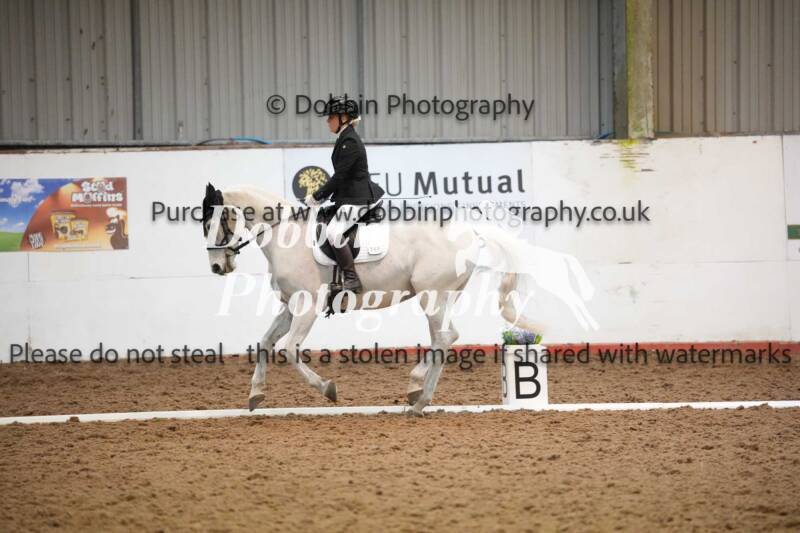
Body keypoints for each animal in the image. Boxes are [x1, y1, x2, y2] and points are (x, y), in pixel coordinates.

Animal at [202, 183, 570, 416]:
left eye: (213, 221)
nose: (218, 267)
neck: (284, 235)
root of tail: (471, 232)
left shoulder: (307, 307)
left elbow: (290, 349)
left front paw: (328, 389)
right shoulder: (291, 307)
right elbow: (264, 343)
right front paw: (255, 395)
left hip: (431, 294)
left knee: (444, 338)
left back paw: (419, 400)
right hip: (440, 296)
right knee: (444, 337)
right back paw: (417, 392)